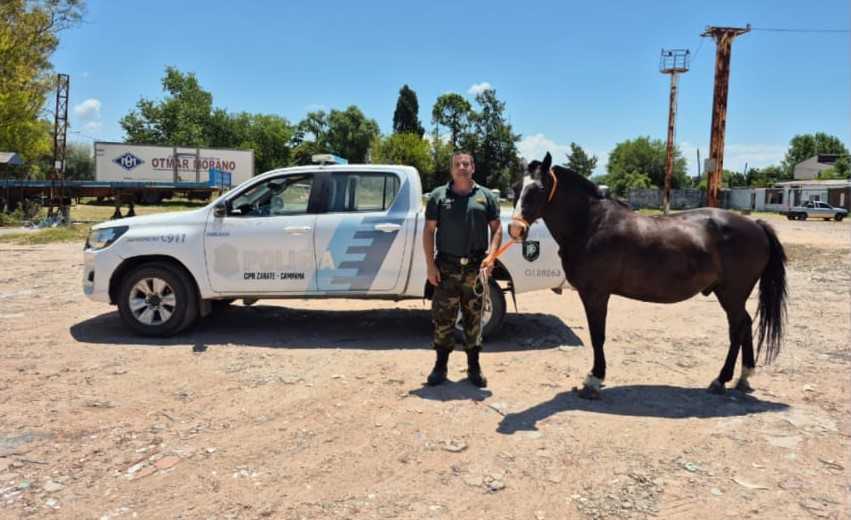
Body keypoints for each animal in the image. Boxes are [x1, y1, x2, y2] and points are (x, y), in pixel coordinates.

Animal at [508, 152, 787, 399]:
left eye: (538, 189)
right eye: (515, 188)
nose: (515, 229)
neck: (591, 224)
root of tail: (756, 225)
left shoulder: (595, 294)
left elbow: (597, 335)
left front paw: (594, 380)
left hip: (732, 294)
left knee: (738, 328)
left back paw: (721, 380)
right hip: (730, 294)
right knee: (746, 324)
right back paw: (743, 377)